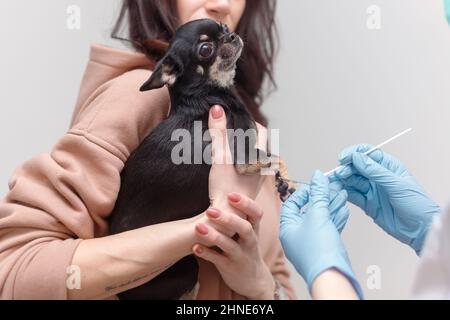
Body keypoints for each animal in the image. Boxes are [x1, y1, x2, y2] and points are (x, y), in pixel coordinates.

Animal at [109, 18, 292, 300]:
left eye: (224, 26)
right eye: (205, 49)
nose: (232, 35)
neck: (204, 93)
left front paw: (284, 183)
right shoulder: (246, 158)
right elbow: (275, 157)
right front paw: (285, 177)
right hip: (186, 270)